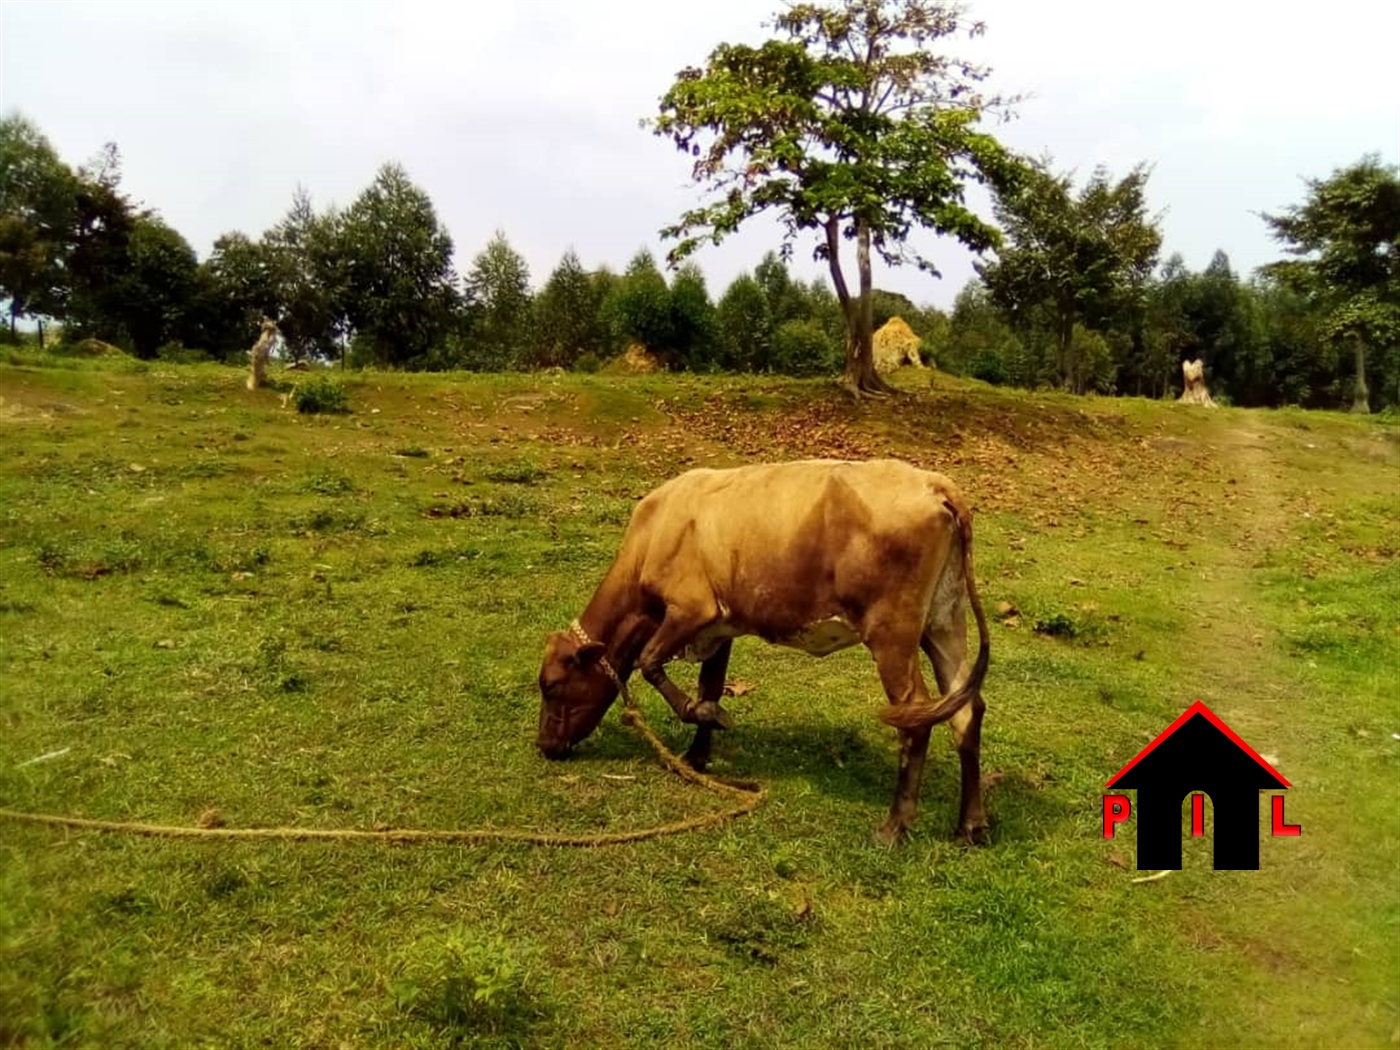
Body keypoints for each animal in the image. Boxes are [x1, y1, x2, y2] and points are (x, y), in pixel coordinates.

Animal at [529, 459, 991, 845]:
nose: (544, 744)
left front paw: (704, 717)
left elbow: (649, 663)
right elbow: (711, 684)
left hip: (892, 633)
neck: (654, 533)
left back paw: (894, 827)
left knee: (916, 717)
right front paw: (697, 752)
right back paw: (970, 826)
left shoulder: (691, 609)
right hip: (944, 620)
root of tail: (934, 483)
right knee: (965, 709)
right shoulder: (720, 625)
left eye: (550, 685)